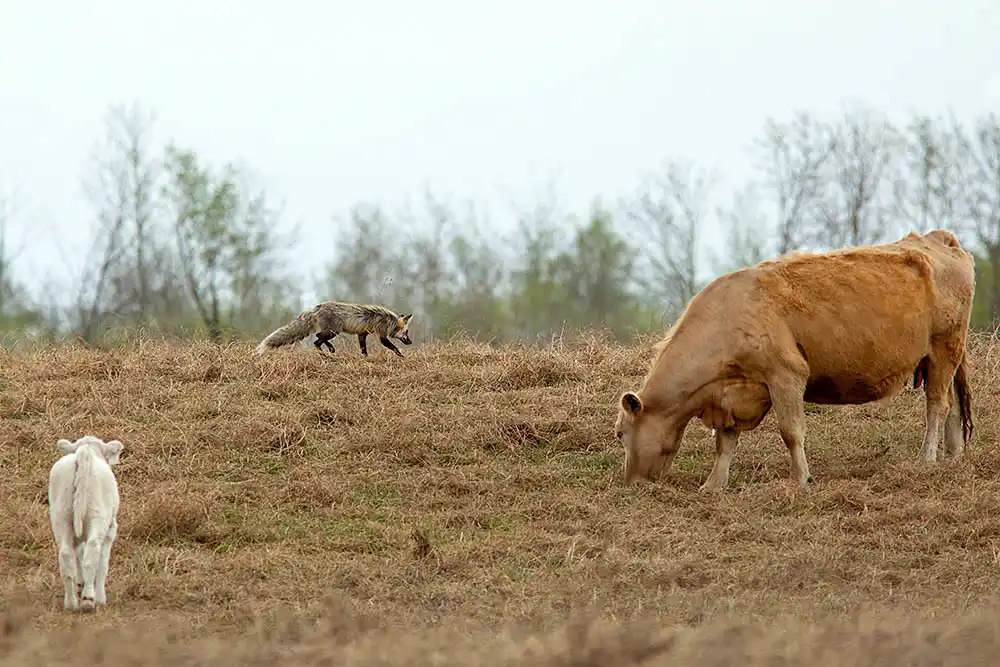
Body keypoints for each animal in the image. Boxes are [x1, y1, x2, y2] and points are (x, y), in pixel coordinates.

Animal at [255, 301, 414, 358]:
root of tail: (317, 307)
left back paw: (328, 351)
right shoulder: (382, 335)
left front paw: (365, 358)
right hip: (333, 332)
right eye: (406, 333)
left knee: (317, 339)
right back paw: (327, 352)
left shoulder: (361, 334)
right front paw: (402, 357)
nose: (411, 342)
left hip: (331, 332)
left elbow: (363, 349)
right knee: (317, 340)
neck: (389, 321)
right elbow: (393, 348)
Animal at [614, 229, 975, 492]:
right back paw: (953, 455)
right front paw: (713, 485)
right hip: (944, 356)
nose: (631, 484)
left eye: (619, 433)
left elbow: (791, 432)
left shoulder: (786, 375)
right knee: (954, 406)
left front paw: (801, 480)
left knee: (937, 405)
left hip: (944, 347)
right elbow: (725, 442)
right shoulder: (733, 392)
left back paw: (926, 459)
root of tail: (938, 239)